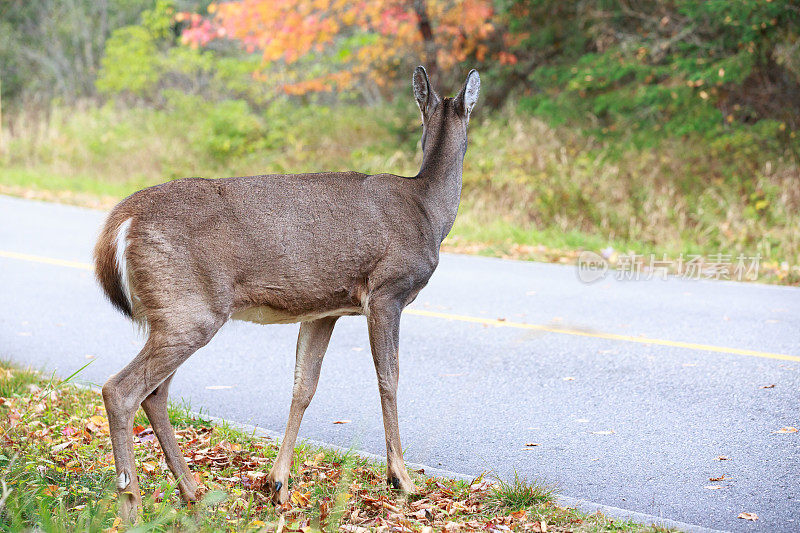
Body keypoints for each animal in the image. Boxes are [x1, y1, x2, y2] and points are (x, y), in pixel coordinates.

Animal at [94, 66, 482, 520]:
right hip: (189, 310)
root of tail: (121, 220)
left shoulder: (325, 309)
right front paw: (401, 479)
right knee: (121, 390)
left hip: (176, 313)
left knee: (155, 394)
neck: (430, 212)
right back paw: (131, 507)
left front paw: (277, 482)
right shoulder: (388, 291)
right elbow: (390, 377)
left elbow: (304, 385)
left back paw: (192, 493)